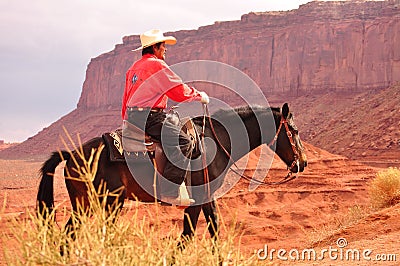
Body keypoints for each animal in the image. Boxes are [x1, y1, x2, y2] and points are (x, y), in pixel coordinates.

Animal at [36, 103, 306, 242]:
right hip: (105, 203)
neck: (218, 142)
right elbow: (188, 235)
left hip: (86, 204)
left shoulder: (208, 198)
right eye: (294, 130)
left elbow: (213, 230)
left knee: (69, 235)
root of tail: (71, 154)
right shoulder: (198, 199)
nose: (302, 163)